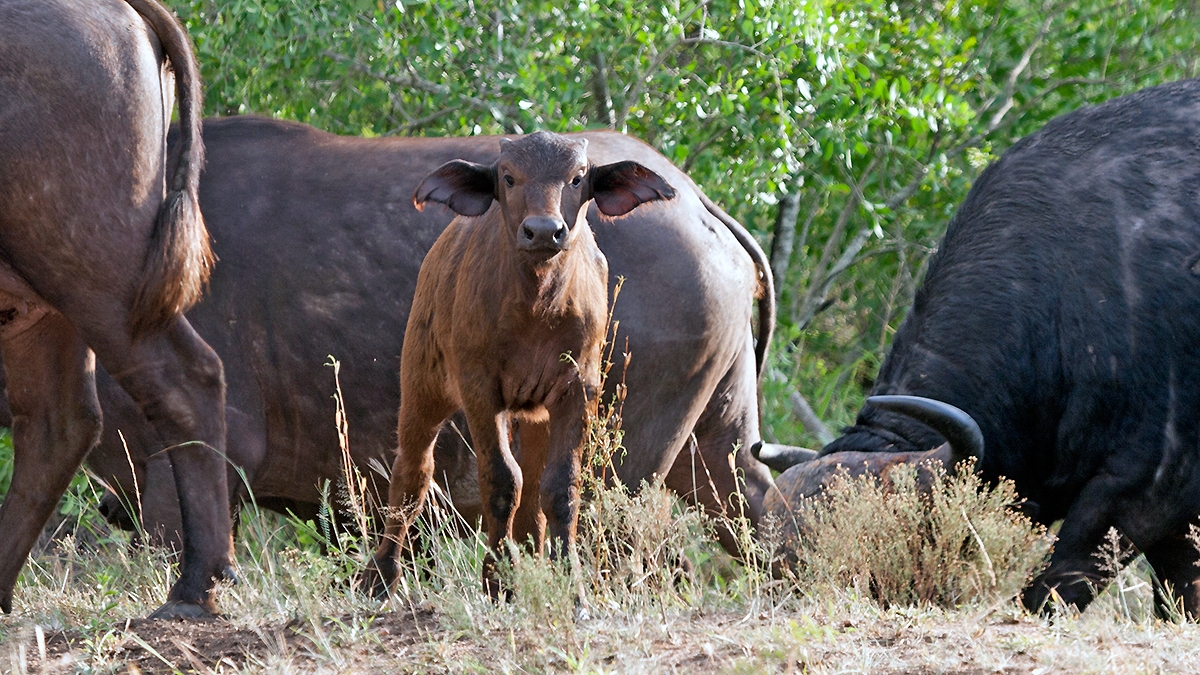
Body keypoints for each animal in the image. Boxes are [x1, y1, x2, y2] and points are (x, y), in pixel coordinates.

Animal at [0, 0, 230, 618]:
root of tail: (121, 7)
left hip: (95, 275)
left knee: (188, 379)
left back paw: (193, 588)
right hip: (42, 307)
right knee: (58, 425)